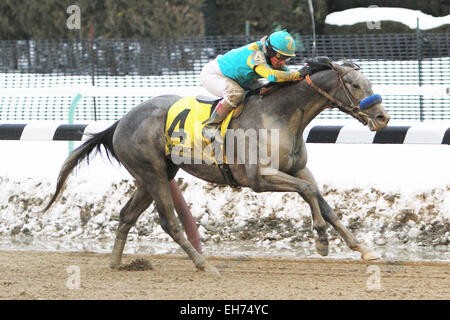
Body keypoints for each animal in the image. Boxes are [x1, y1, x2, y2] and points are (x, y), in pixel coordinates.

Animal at [43, 58, 390, 274]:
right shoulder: (260, 178)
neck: (280, 114)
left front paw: (363, 248)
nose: (382, 117)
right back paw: (204, 265)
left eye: (369, 82)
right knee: (169, 222)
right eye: (354, 85)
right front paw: (320, 240)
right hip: (153, 174)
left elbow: (320, 198)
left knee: (127, 214)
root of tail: (120, 122)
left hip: (155, 174)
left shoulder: (297, 169)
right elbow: (308, 192)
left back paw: (116, 264)